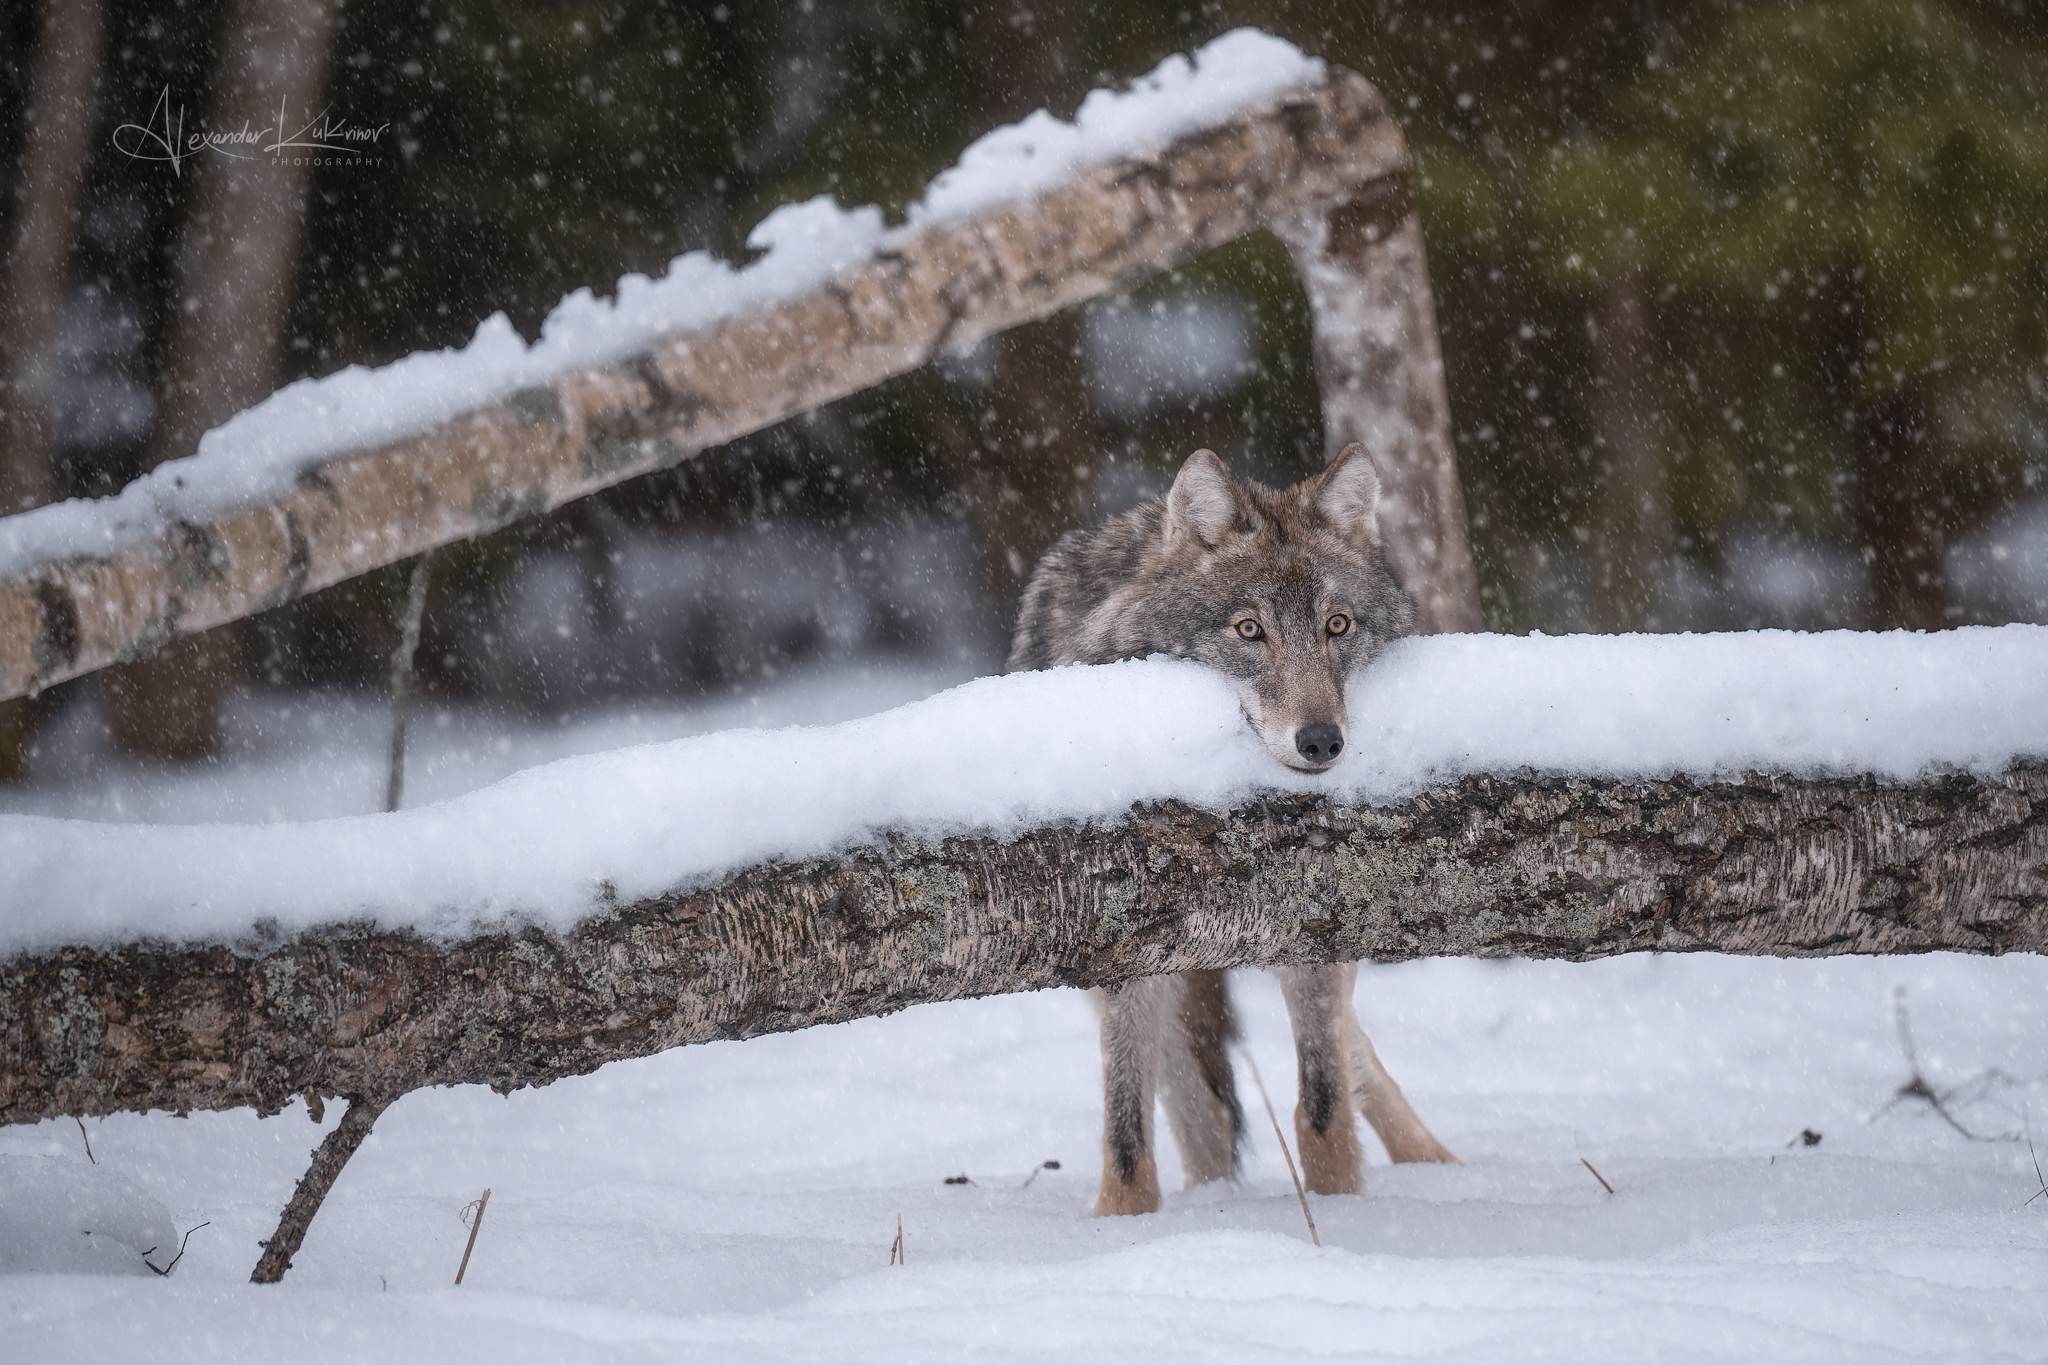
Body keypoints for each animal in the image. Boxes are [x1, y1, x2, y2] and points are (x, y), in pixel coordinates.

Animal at [1007, 439, 1458, 1219]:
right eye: (1250, 629)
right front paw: (1120, 1226)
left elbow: (1323, 1109)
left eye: (1337, 625)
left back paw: (1439, 1165)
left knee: (1355, 1055)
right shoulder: (1123, 956)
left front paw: (1341, 1213)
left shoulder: (1317, 937)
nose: (1321, 742)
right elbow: (1126, 1136)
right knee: (1204, 1114)